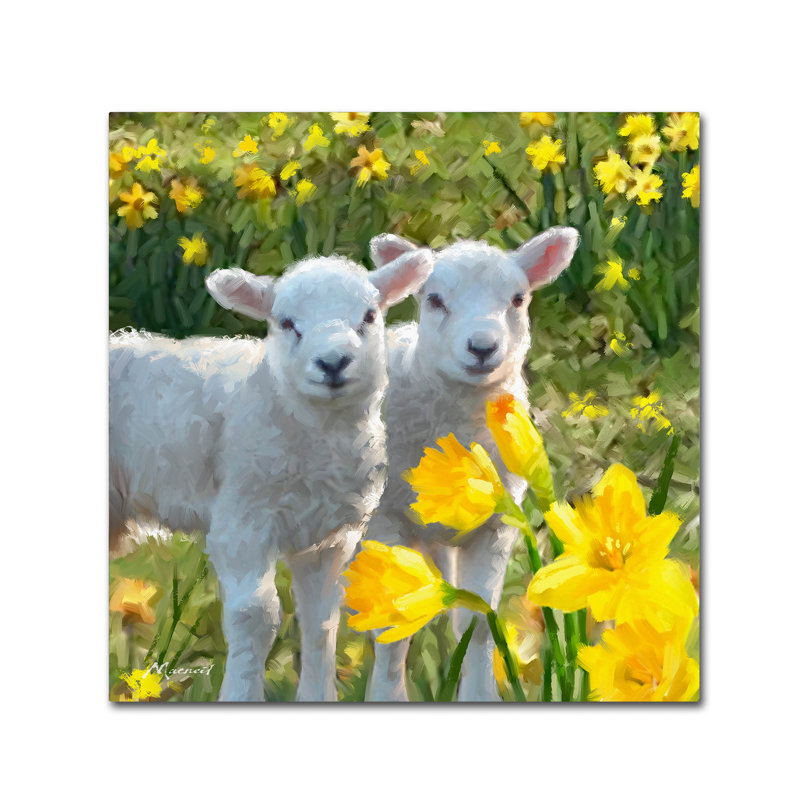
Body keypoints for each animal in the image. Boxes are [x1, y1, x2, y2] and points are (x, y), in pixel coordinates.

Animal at [109, 251, 434, 701]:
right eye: (286, 323)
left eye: (369, 316)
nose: (333, 363)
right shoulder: (242, 520)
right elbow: (255, 617)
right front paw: (240, 695)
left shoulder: (330, 536)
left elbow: (320, 620)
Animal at [364, 227, 579, 701]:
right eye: (434, 299)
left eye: (518, 299)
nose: (482, 347)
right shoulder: (387, 521)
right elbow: (392, 633)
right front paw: (386, 696)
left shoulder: (497, 527)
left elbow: (480, 624)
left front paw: (480, 693)